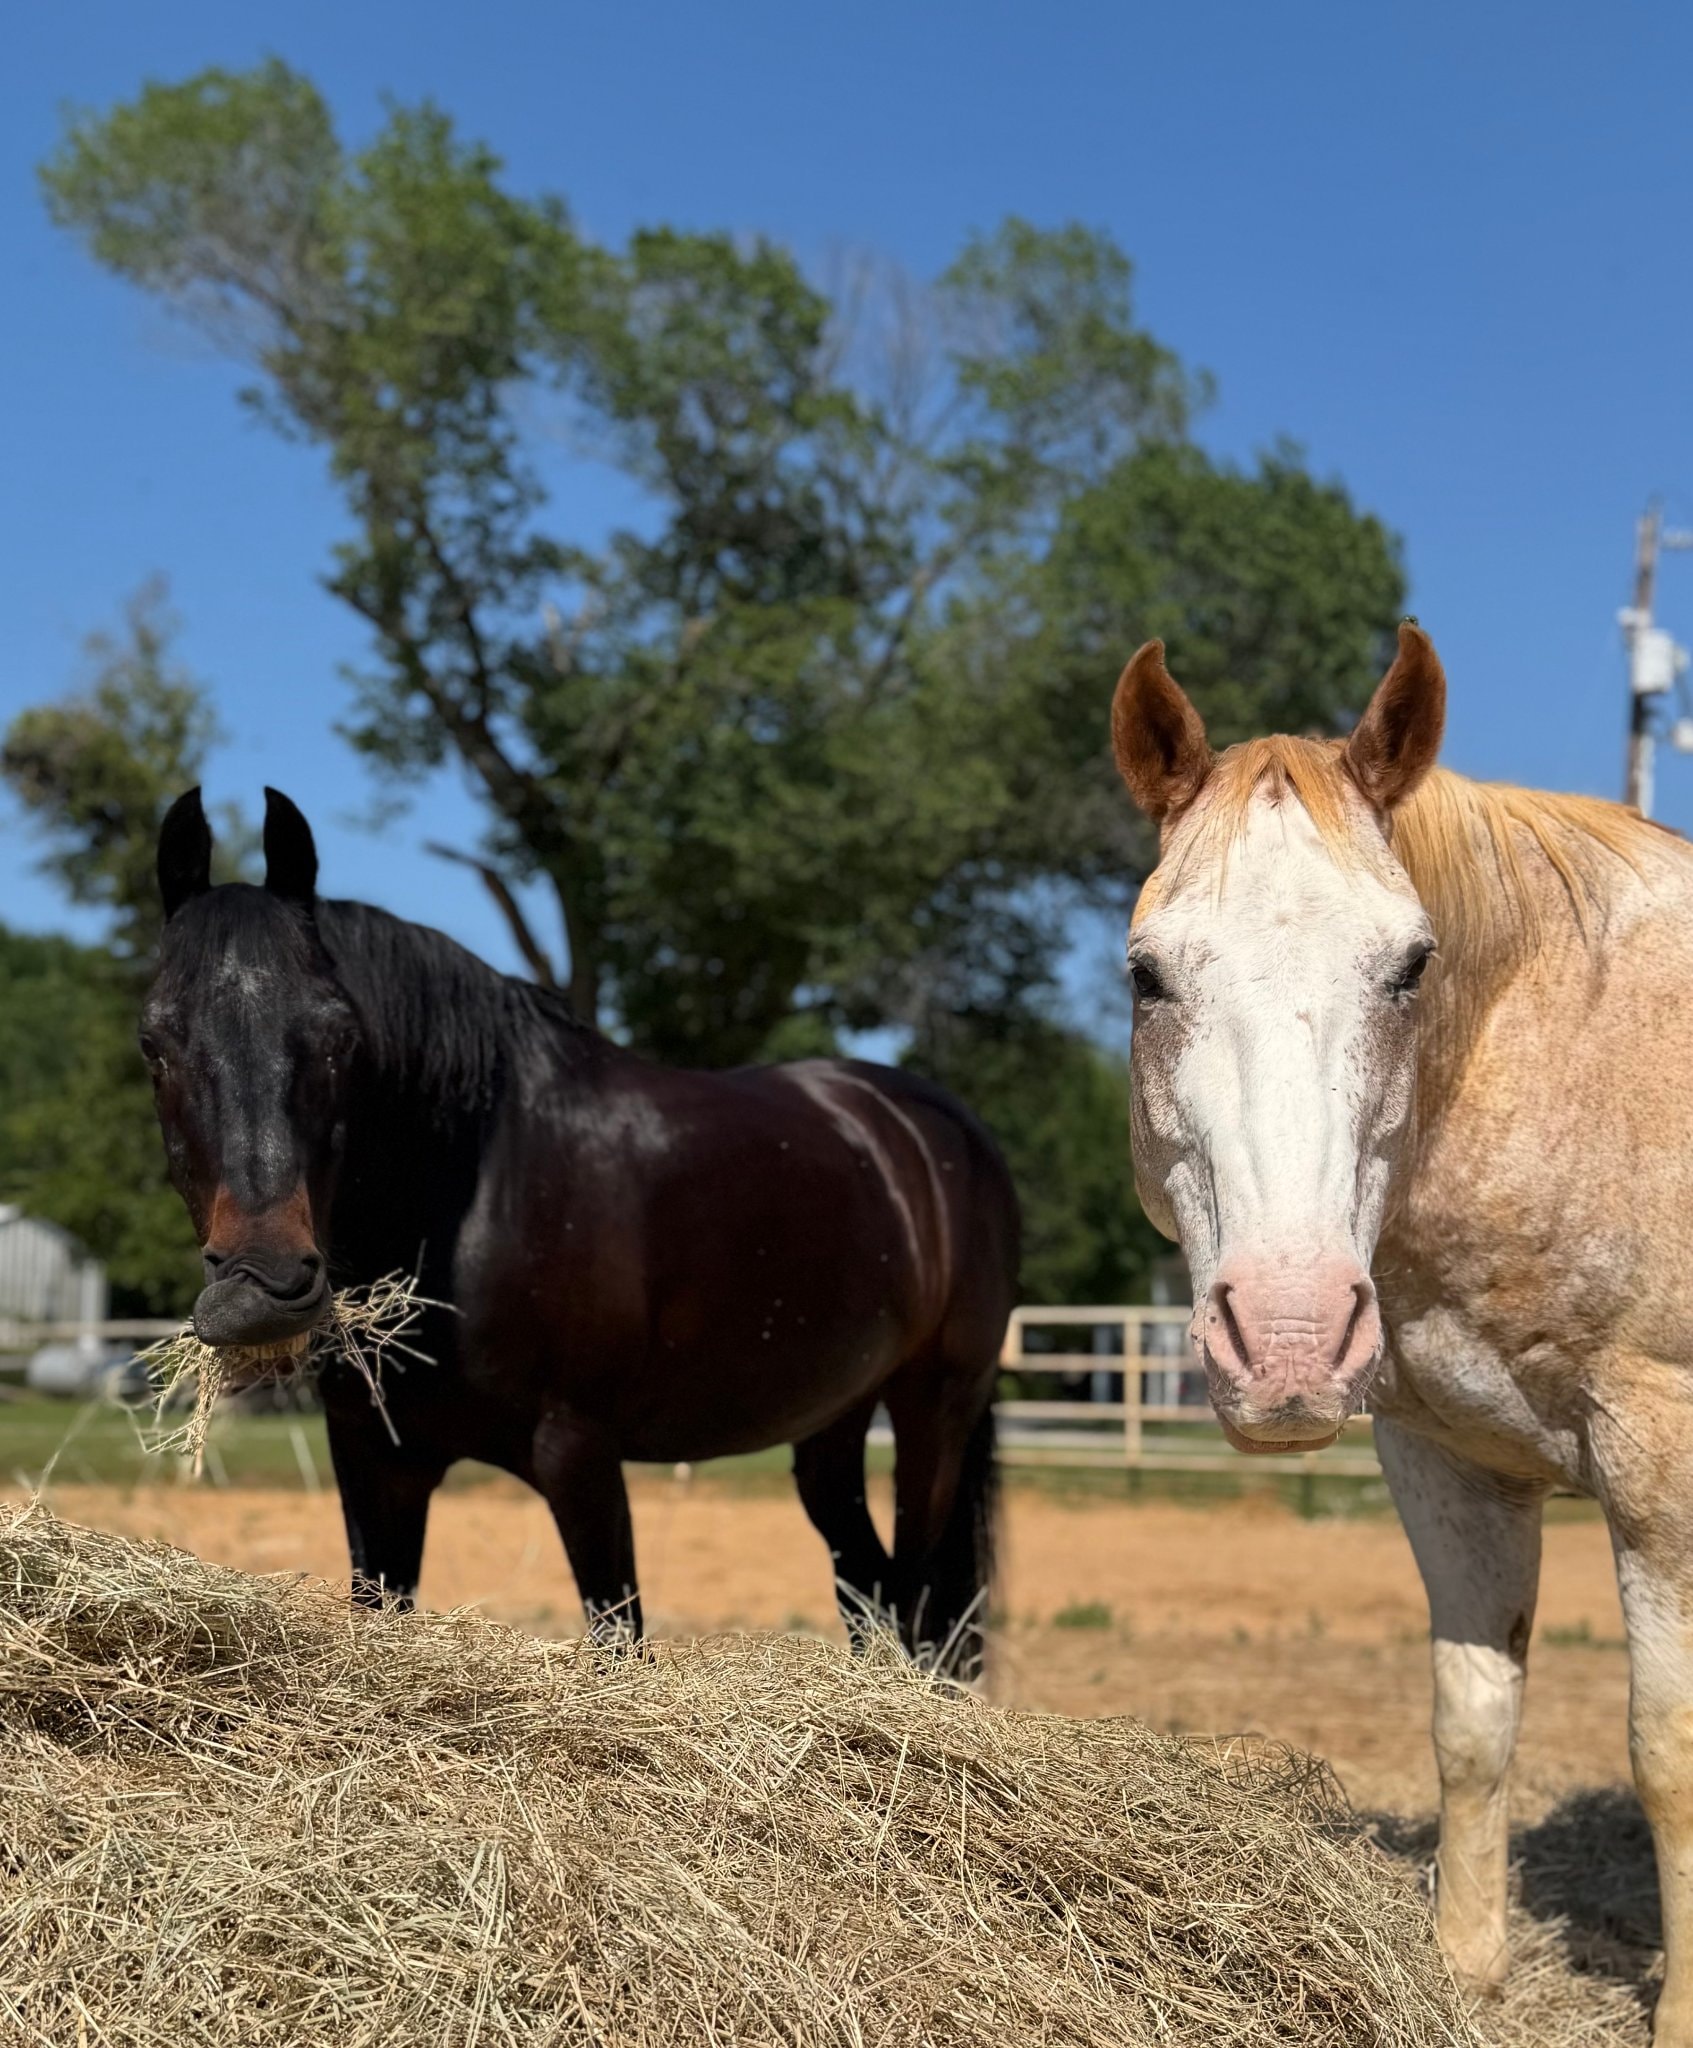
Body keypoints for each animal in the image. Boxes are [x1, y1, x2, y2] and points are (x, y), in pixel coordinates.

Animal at [141, 787, 1019, 1678]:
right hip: (834, 1427)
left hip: (932, 1412)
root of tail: (936, 1124)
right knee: (869, 1592)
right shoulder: (375, 1459)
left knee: (924, 1612)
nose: (264, 1289)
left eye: (339, 1037)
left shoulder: (579, 1457)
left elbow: (618, 1636)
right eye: (154, 1043)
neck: (469, 1194)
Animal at [1111, 621, 1693, 2040]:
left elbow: (1668, 1752)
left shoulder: (1662, 1461)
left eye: (1410, 965)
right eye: (1146, 974)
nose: (1285, 1338)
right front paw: (1461, 1972)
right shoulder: (1448, 1462)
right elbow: (1472, 1720)